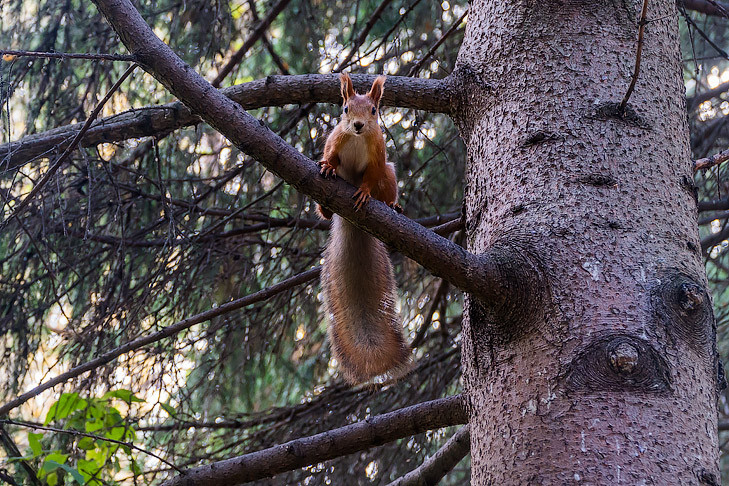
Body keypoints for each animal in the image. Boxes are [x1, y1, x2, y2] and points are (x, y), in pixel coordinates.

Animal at [318, 72, 412, 384]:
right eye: (346, 109)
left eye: (373, 110)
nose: (358, 125)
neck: (358, 139)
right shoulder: (335, 139)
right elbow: (331, 155)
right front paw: (328, 167)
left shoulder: (377, 156)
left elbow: (370, 178)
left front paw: (364, 193)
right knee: (323, 211)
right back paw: (326, 207)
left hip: (390, 175)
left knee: (387, 186)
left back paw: (393, 206)